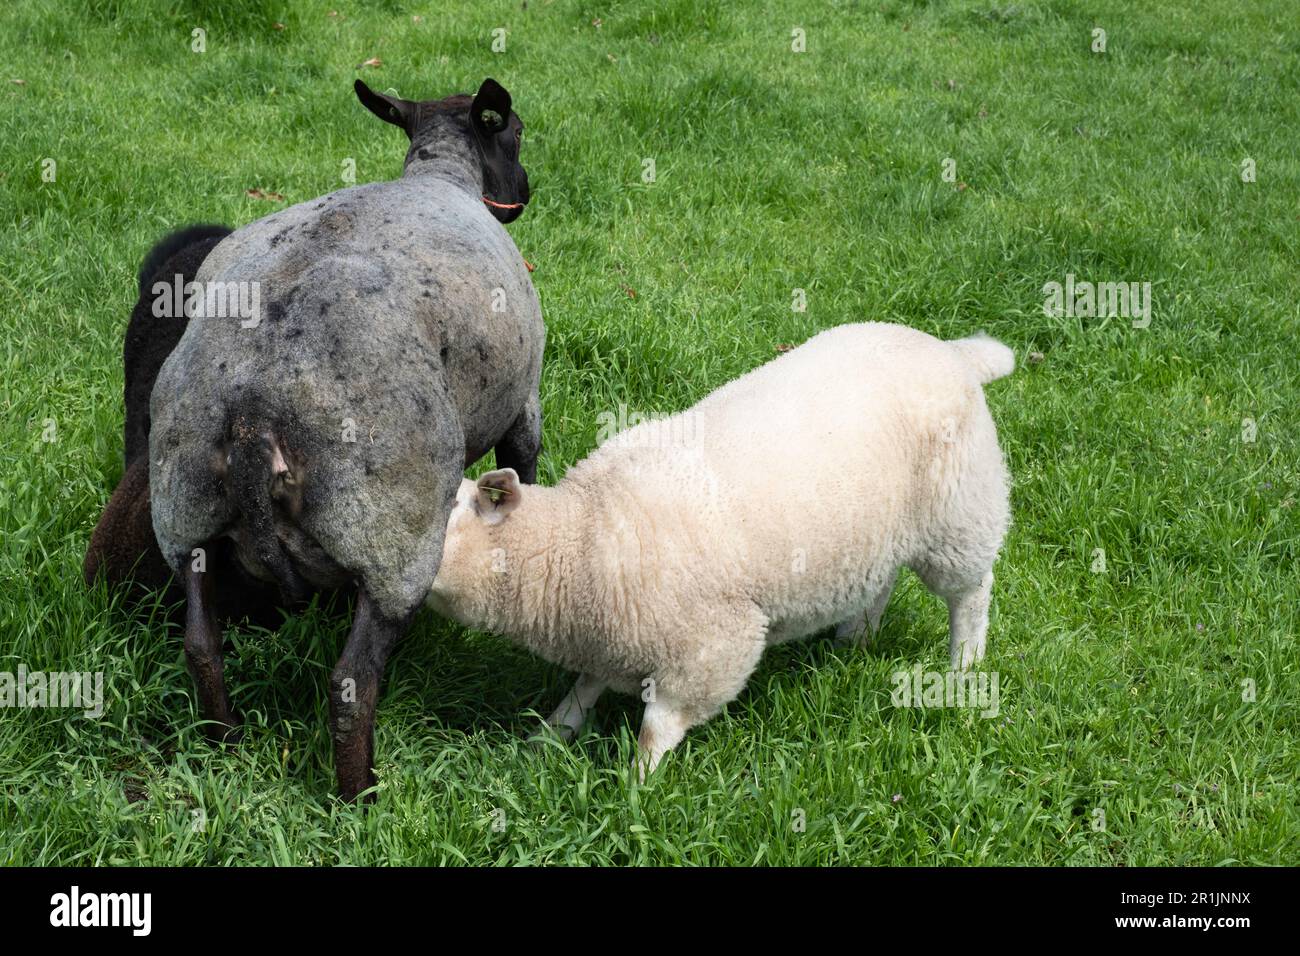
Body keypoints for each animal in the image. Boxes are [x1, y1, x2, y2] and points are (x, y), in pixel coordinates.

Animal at [426, 321, 1013, 780]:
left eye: (445, 513)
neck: (581, 537)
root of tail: (954, 353)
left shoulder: (710, 646)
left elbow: (658, 725)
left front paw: (636, 786)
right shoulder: (615, 634)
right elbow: (585, 687)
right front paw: (549, 736)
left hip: (960, 514)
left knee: (972, 594)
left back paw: (962, 667)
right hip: (882, 529)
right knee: (882, 578)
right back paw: (855, 640)